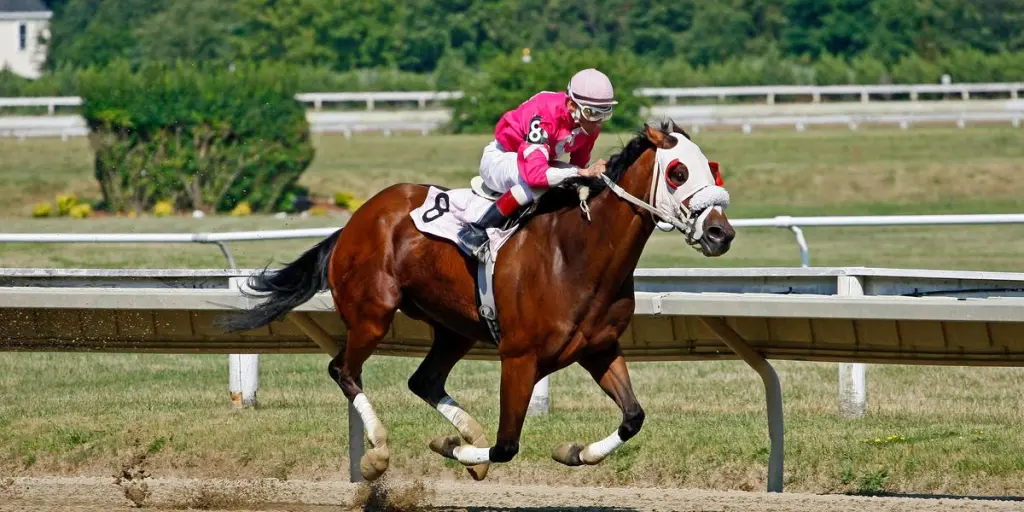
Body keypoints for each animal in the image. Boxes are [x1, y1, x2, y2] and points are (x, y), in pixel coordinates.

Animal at [220, 121, 737, 481]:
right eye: (678, 172)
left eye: (713, 167)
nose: (721, 233)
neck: (575, 254)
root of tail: (355, 220)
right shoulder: (520, 358)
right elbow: (508, 444)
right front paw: (455, 449)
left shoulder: (599, 348)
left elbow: (633, 417)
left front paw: (573, 452)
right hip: (372, 314)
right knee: (343, 370)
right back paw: (379, 453)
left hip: (453, 328)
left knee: (423, 380)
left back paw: (465, 433)